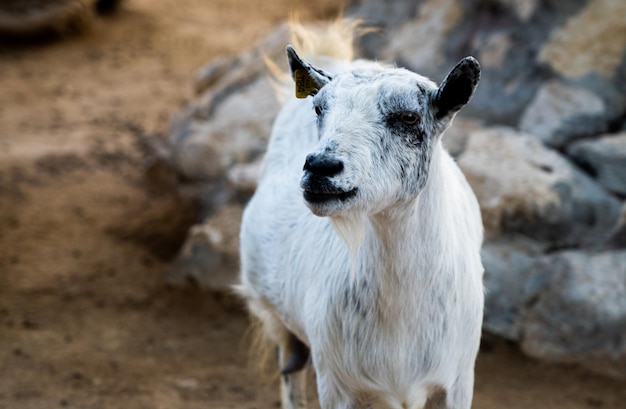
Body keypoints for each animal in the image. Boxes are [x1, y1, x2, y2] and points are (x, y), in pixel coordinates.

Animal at [234, 19, 482, 408]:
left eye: (408, 117)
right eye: (319, 109)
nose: (320, 167)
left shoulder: (458, 379)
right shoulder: (336, 383)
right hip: (275, 316)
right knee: (290, 371)